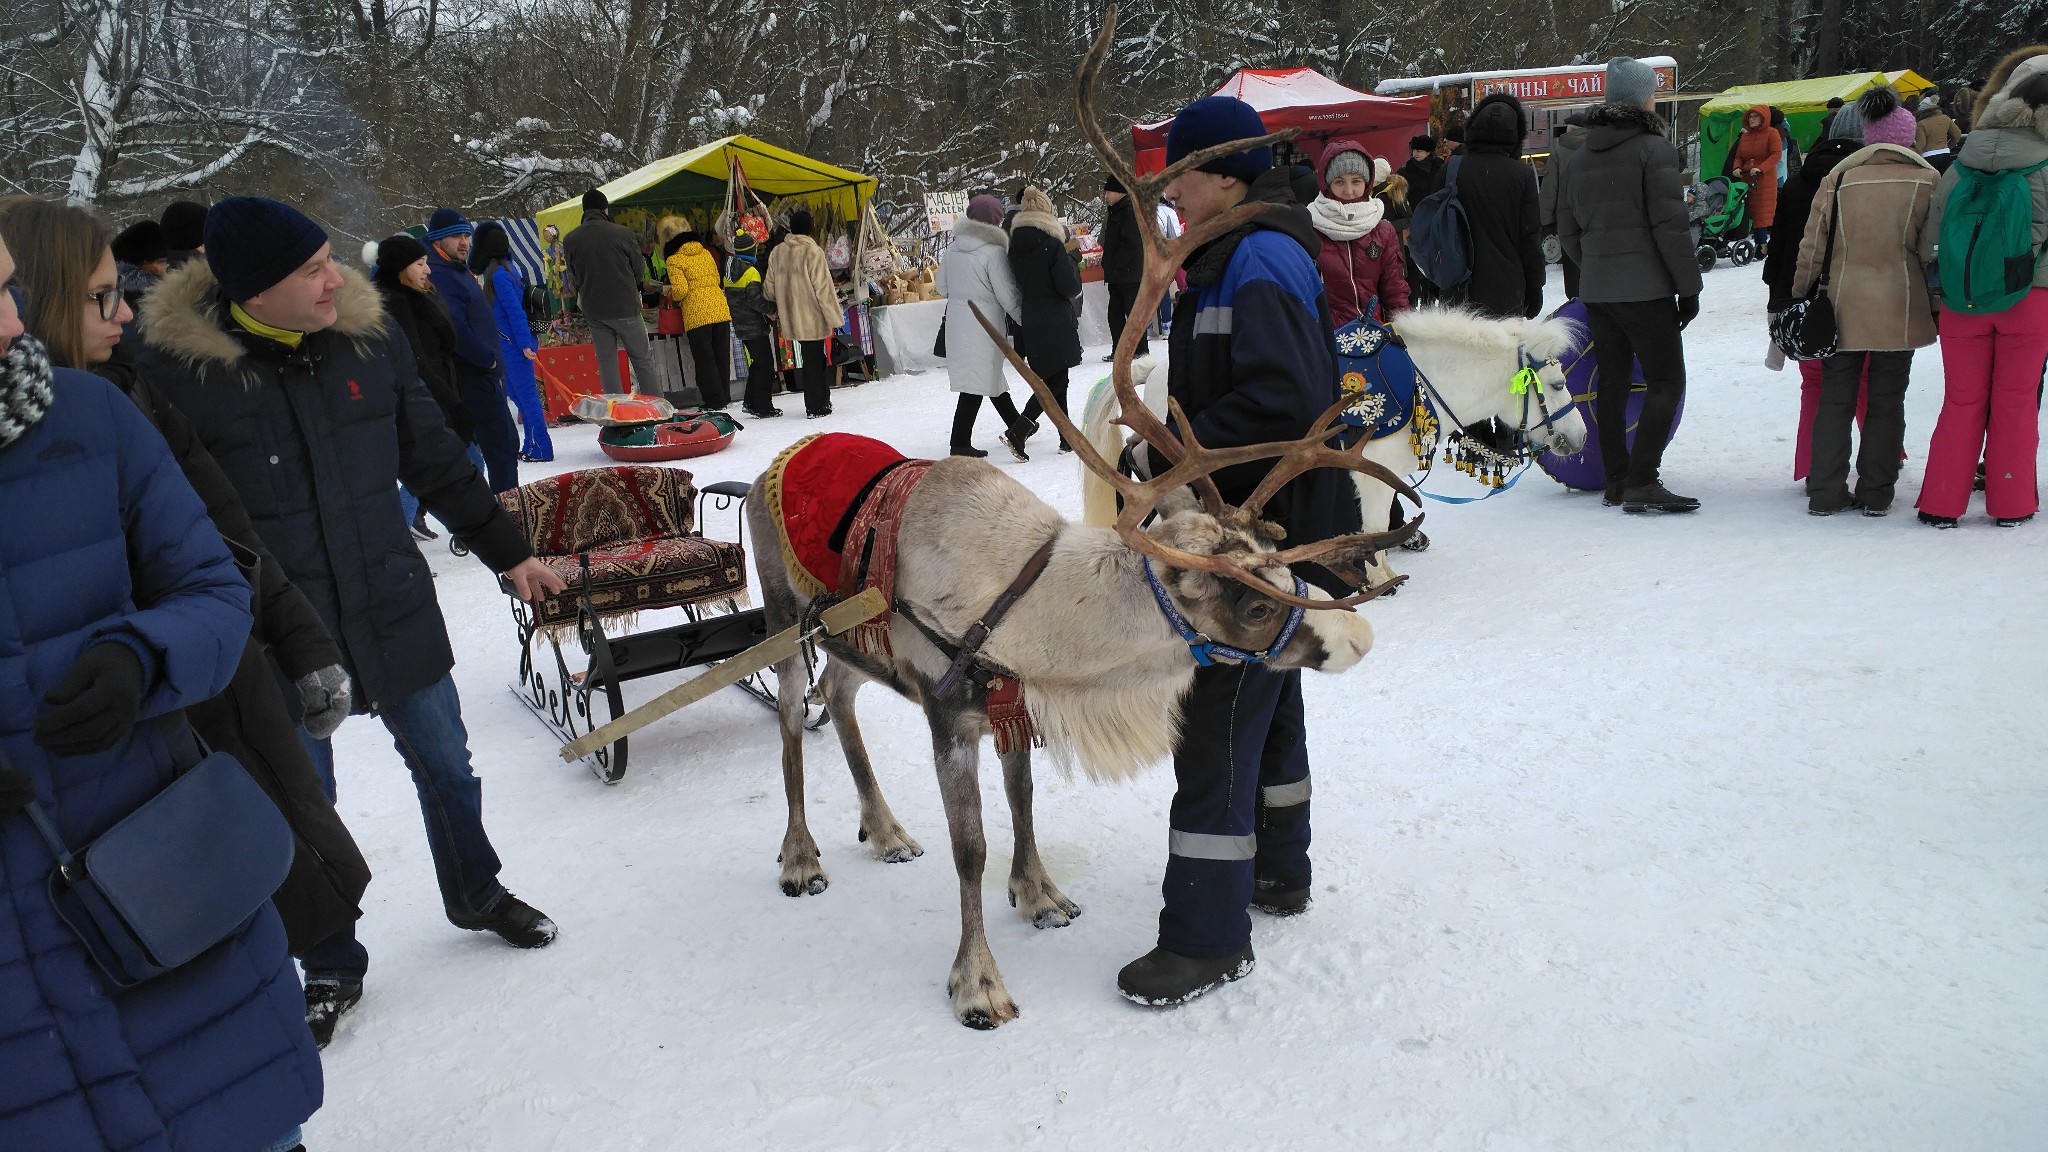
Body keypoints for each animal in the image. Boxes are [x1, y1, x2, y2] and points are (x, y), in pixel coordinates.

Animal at [1089, 303, 1581, 582]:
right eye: (1557, 385)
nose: (1579, 438)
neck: (1419, 382)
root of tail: (1153, 371)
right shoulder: (1374, 477)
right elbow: (1375, 525)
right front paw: (1378, 577)